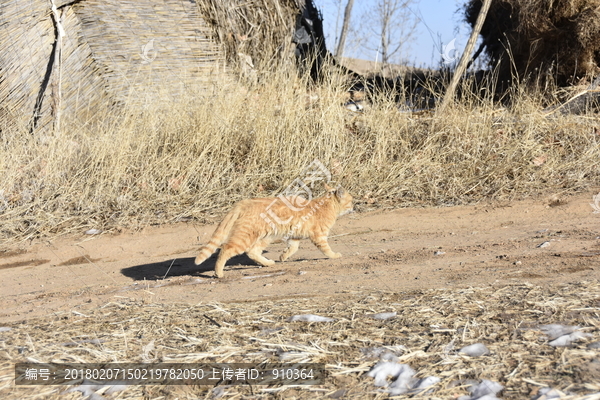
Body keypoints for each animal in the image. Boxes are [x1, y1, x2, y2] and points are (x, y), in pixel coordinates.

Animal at [195, 185, 352, 276]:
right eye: (351, 201)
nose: (354, 206)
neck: (326, 206)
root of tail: (243, 202)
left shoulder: (294, 236)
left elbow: (292, 248)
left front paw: (283, 256)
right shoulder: (319, 235)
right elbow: (326, 249)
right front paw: (334, 255)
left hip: (265, 237)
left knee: (252, 252)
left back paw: (268, 263)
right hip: (246, 237)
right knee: (226, 249)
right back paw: (218, 273)